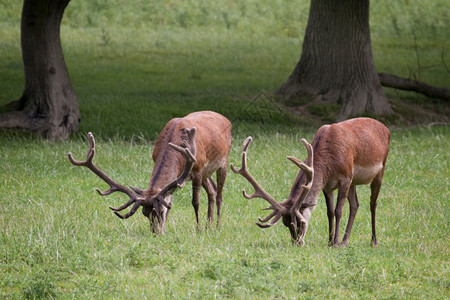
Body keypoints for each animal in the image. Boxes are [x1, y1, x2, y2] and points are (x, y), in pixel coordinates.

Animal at [69, 110, 236, 234]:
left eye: (160, 211)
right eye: (145, 213)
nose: (155, 232)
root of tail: (226, 119)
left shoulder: (198, 167)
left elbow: (195, 202)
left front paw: (198, 229)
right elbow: (170, 199)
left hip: (223, 162)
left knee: (219, 194)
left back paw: (217, 226)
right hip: (207, 173)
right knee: (212, 190)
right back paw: (209, 225)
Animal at [232, 117, 390, 246]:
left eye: (300, 223)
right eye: (285, 224)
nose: (297, 243)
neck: (329, 162)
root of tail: (386, 128)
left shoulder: (345, 178)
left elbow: (338, 211)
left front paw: (336, 243)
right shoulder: (327, 185)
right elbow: (330, 212)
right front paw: (330, 241)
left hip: (380, 170)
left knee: (372, 204)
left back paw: (373, 241)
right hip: (354, 182)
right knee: (355, 205)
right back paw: (346, 241)